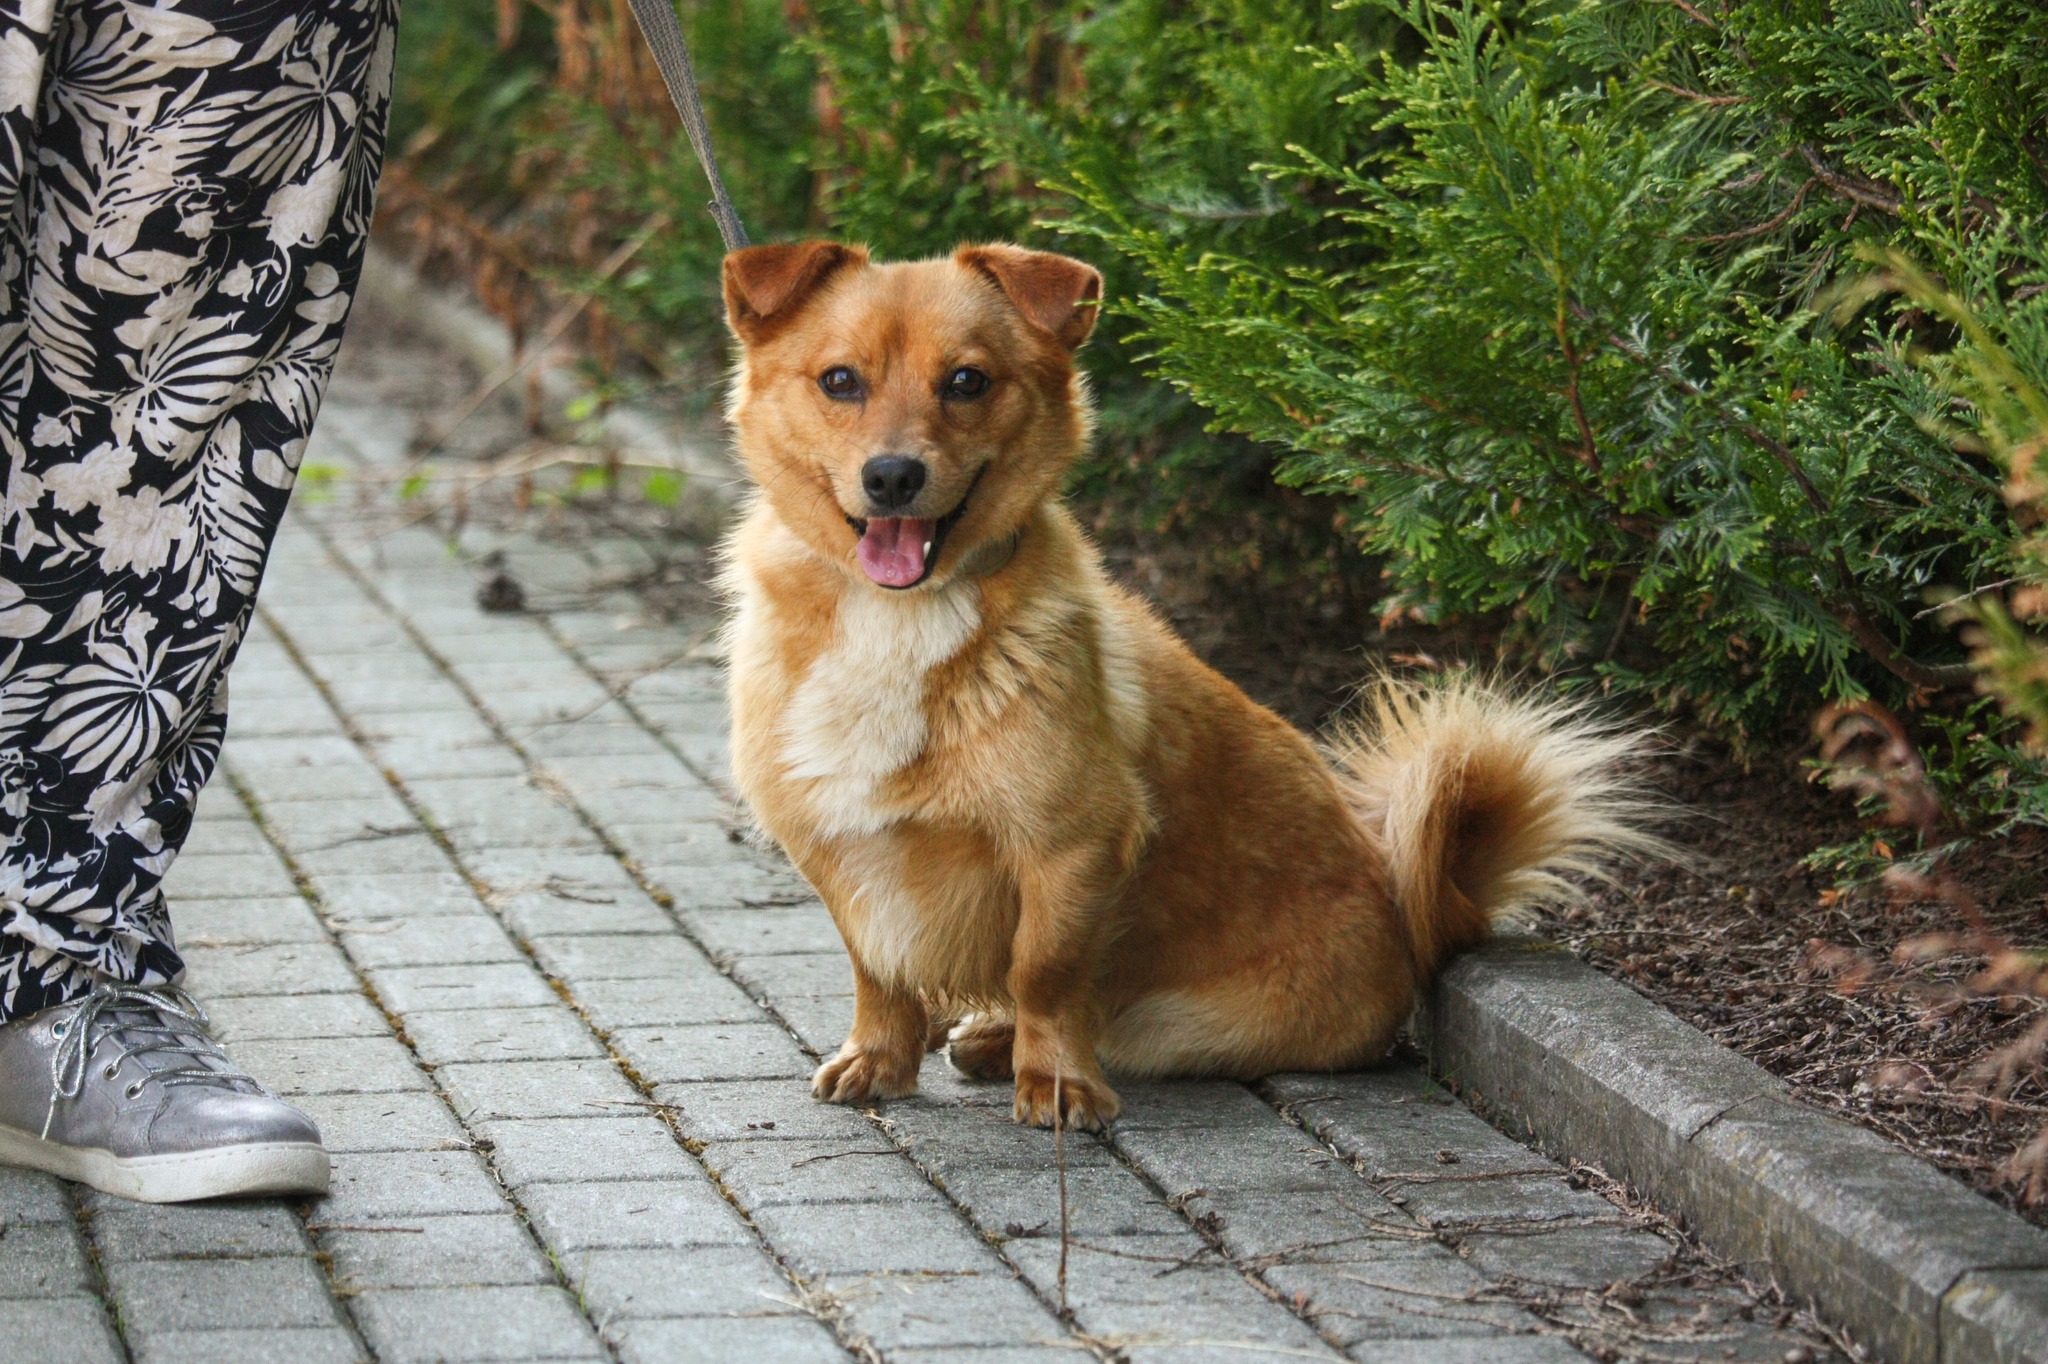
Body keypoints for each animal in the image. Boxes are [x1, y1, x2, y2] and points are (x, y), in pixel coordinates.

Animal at [718, 239, 1657, 1130]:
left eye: (967, 381)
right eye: (840, 381)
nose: (892, 477)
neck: (894, 614)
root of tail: (1415, 912)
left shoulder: (1072, 846)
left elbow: (1044, 972)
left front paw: (1052, 1079)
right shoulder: (834, 841)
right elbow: (876, 967)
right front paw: (881, 1057)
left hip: (1184, 1023)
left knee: (1105, 1017)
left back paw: (1002, 1042)